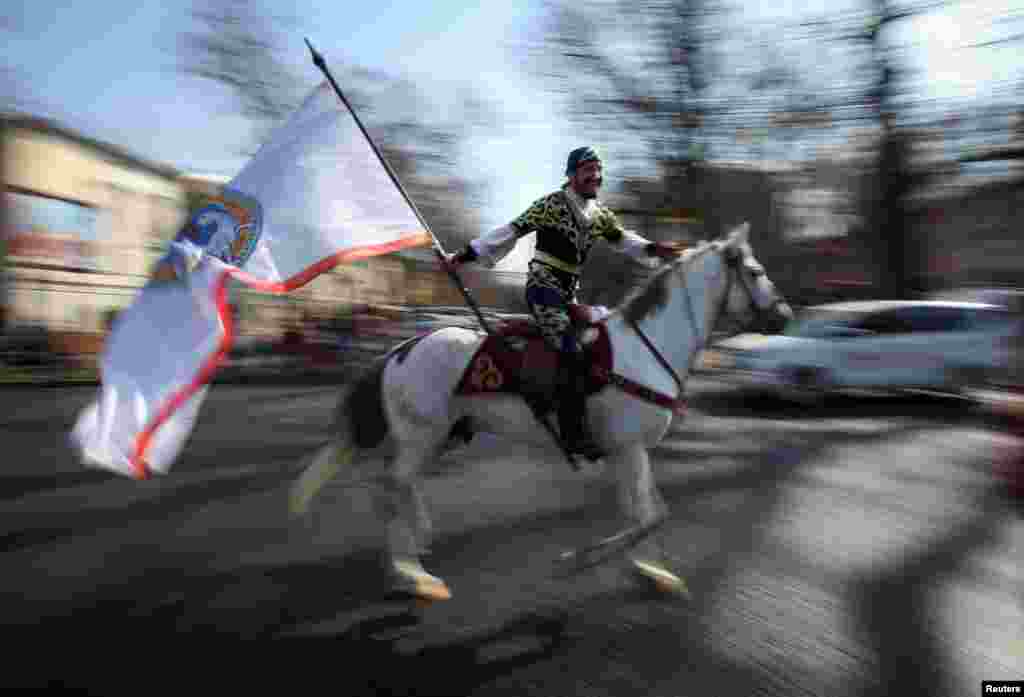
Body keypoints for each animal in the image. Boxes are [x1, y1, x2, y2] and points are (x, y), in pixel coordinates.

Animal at [288, 221, 790, 597]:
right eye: (755, 271)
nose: (783, 315)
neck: (646, 349)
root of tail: (401, 350)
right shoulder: (630, 449)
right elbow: (647, 516)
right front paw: (580, 559)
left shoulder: (628, 453)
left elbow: (645, 512)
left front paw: (652, 571)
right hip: (421, 435)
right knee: (392, 488)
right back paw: (413, 575)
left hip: (436, 435)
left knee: (399, 484)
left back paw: (419, 541)